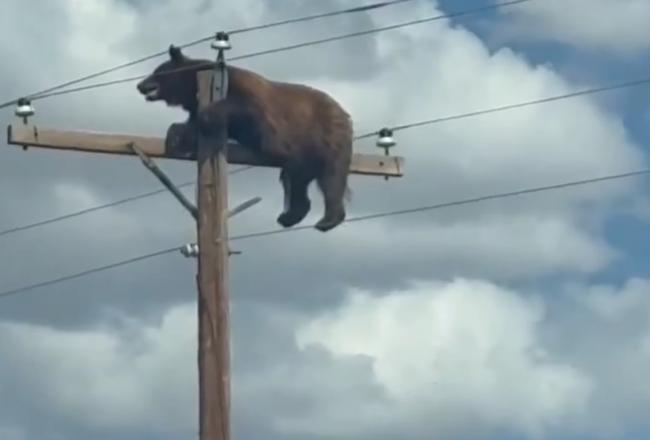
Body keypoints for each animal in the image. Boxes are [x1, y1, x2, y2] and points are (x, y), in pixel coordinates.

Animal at [136, 45, 353, 232]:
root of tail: (344, 113)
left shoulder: (246, 95)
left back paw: (325, 218)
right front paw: (175, 136)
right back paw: (293, 216)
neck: (192, 87)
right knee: (302, 177)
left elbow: (241, 108)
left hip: (325, 135)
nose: (140, 85)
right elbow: (191, 125)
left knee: (329, 176)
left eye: (158, 70)